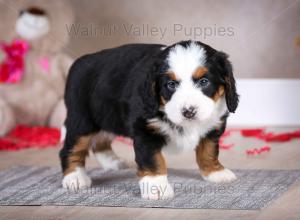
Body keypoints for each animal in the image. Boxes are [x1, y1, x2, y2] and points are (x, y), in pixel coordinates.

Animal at [59, 39, 239, 199]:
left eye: (204, 81)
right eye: (171, 84)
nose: (188, 111)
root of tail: (81, 61)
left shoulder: (213, 126)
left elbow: (208, 151)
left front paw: (216, 172)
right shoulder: (144, 130)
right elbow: (153, 160)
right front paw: (156, 186)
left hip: (109, 116)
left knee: (100, 142)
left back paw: (112, 162)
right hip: (82, 121)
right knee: (71, 148)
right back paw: (75, 177)